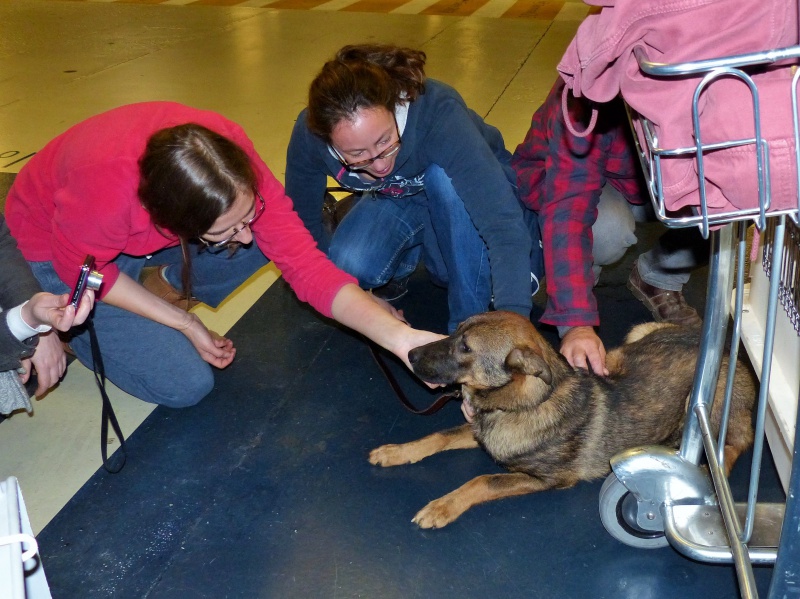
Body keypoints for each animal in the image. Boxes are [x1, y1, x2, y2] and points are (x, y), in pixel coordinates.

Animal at [368, 312, 756, 528]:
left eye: (466, 348)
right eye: (455, 330)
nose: (410, 353)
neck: (521, 404)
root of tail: (723, 349)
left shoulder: (547, 478)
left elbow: (481, 480)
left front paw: (442, 507)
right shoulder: (478, 430)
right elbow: (438, 437)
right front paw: (396, 452)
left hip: (706, 400)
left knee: (738, 441)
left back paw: (706, 470)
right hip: (637, 334)